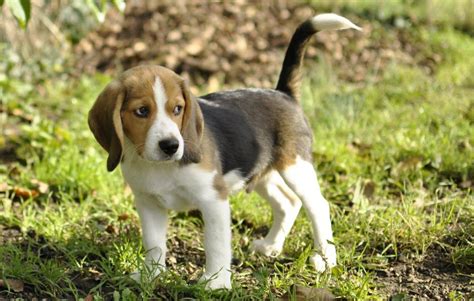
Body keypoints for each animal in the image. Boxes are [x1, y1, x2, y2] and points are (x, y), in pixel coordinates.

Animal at [89, 13, 362, 288]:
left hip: (295, 167)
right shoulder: (148, 203)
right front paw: (150, 275)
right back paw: (270, 246)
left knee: (318, 205)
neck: (160, 167)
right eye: (142, 111)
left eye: (177, 109)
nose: (171, 146)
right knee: (288, 202)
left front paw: (216, 284)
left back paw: (325, 258)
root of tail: (282, 93)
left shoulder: (213, 199)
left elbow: (216, 244)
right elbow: (154, 244)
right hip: (260, 171)